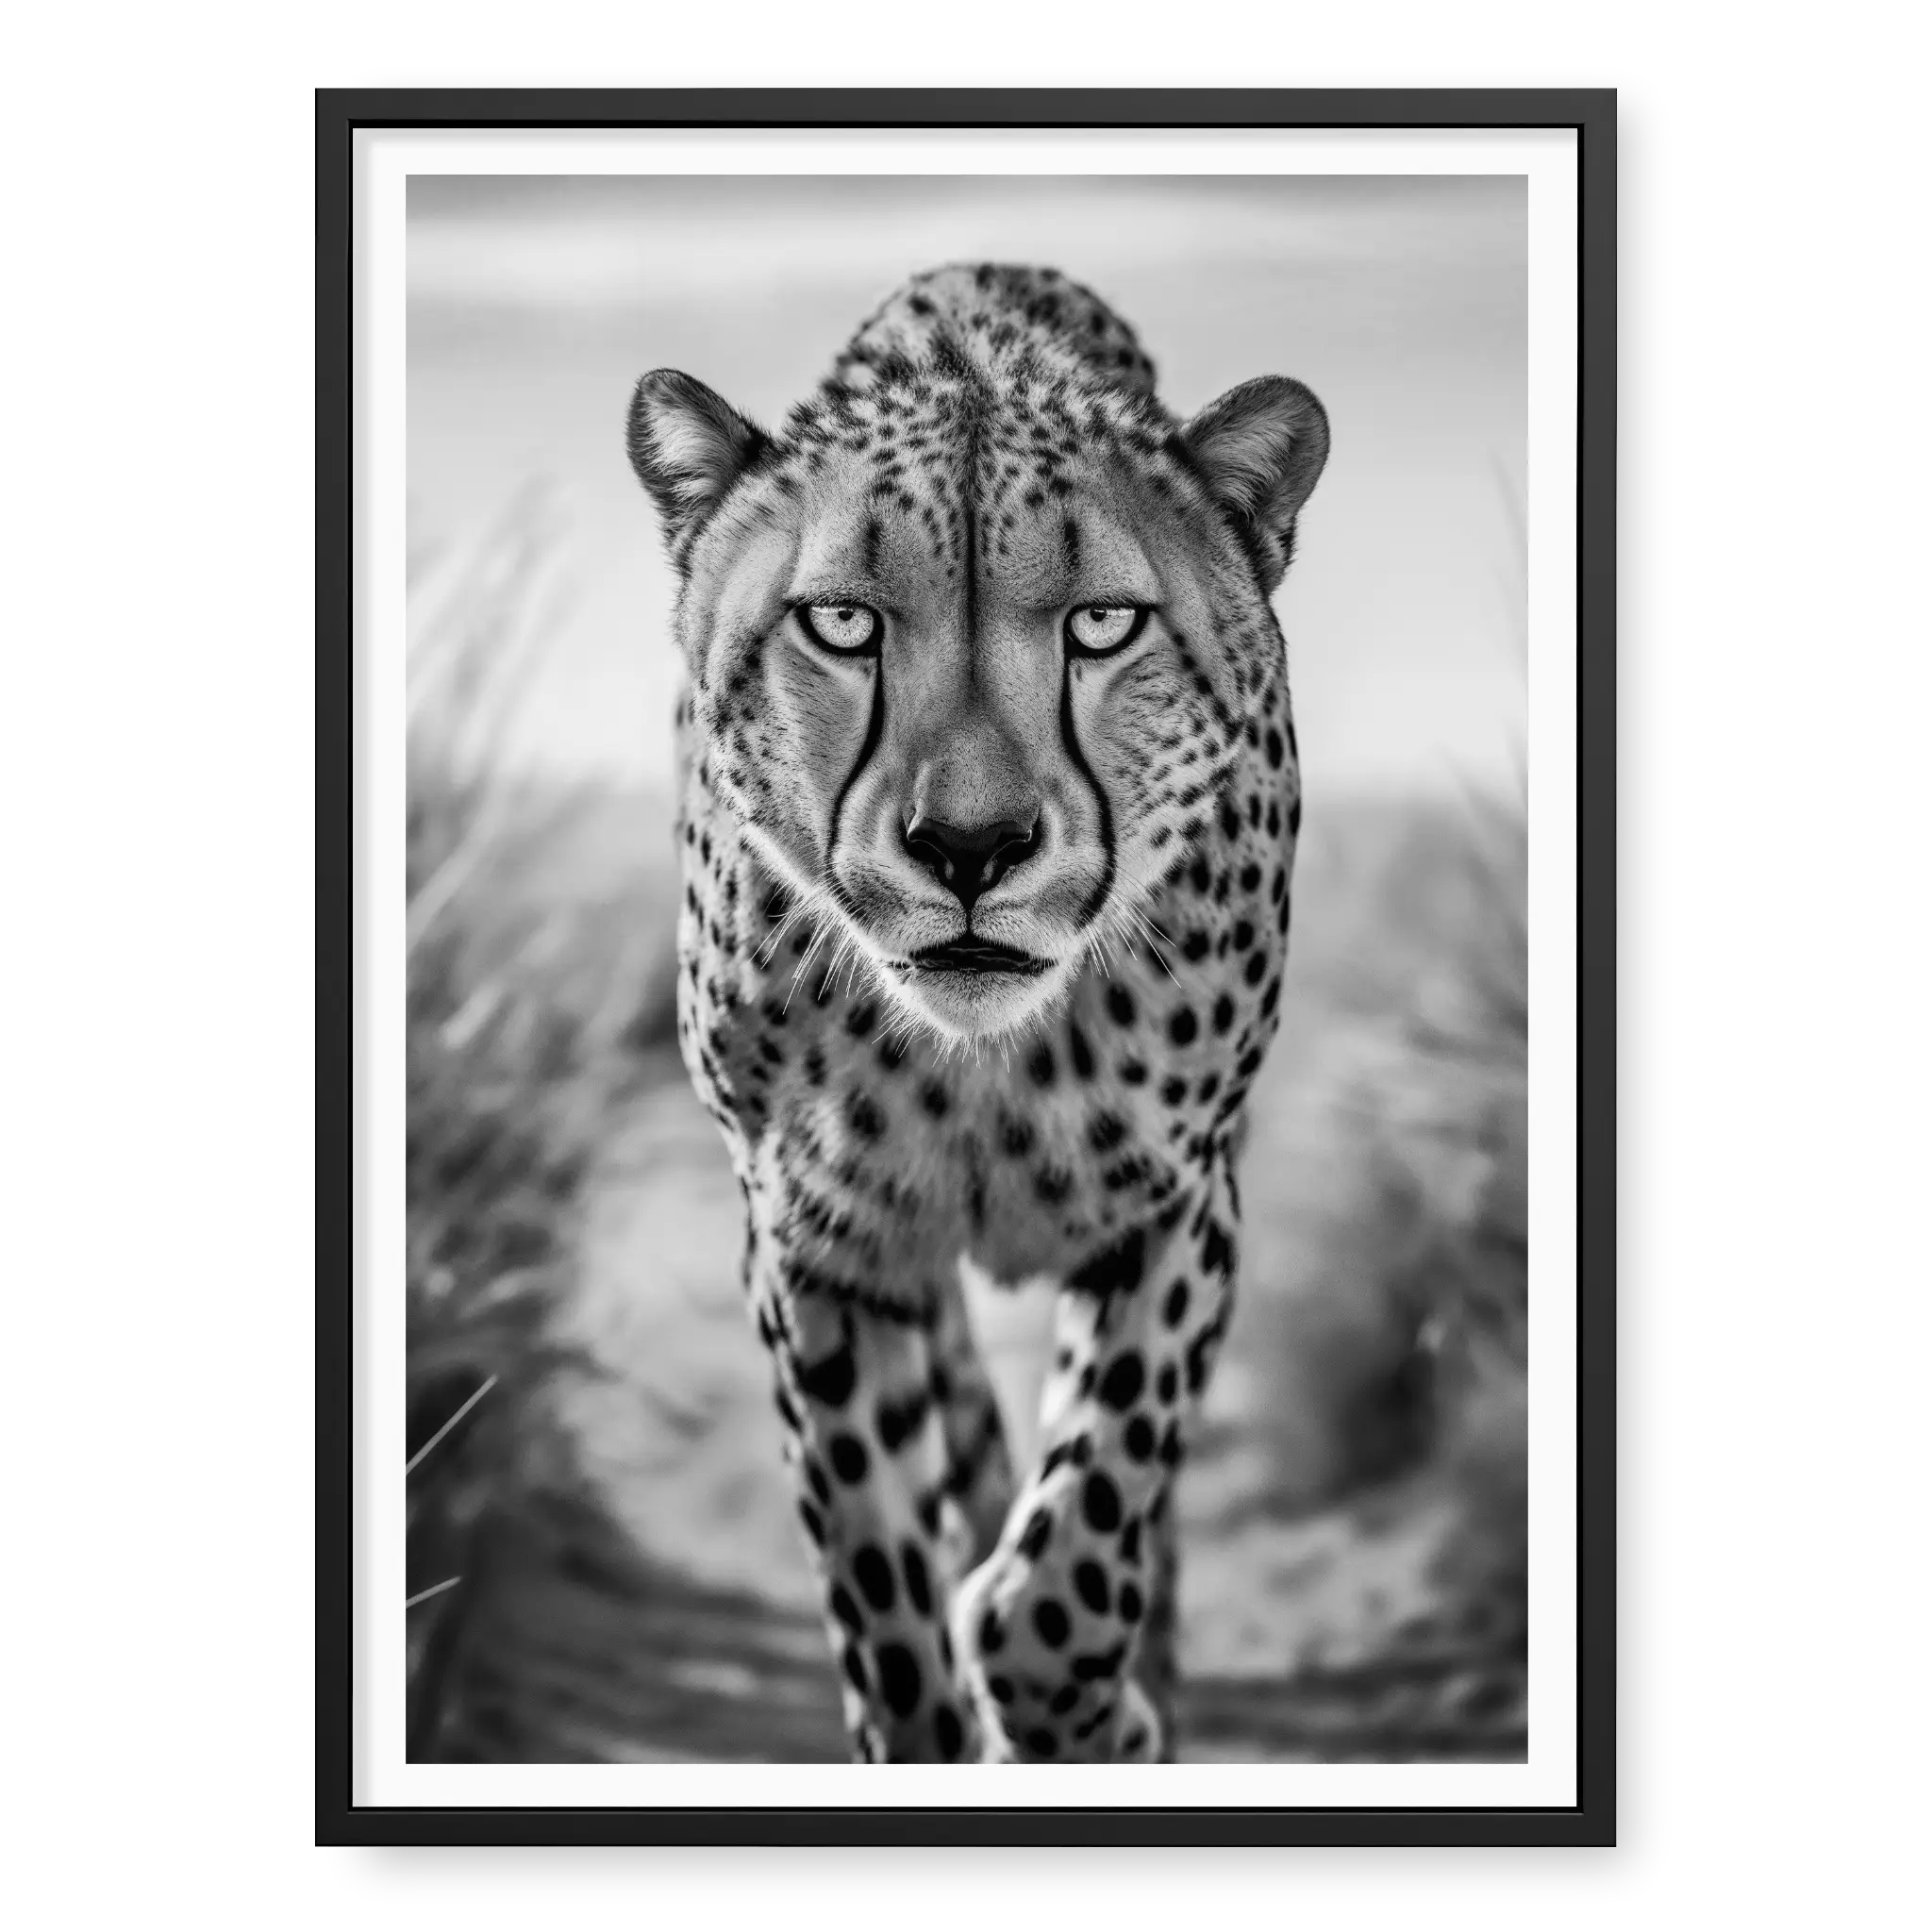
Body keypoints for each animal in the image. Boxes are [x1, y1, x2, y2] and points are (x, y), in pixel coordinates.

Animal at [626, 263, 1331, 1764]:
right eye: (840, 622)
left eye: (1102, 624)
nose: (969, 845)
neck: (980, 1061)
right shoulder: (817, 1246)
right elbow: (881, 1587)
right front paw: (946, 1712)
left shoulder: (1179, 1204)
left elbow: (1085, 1527)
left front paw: (1093, 1715)